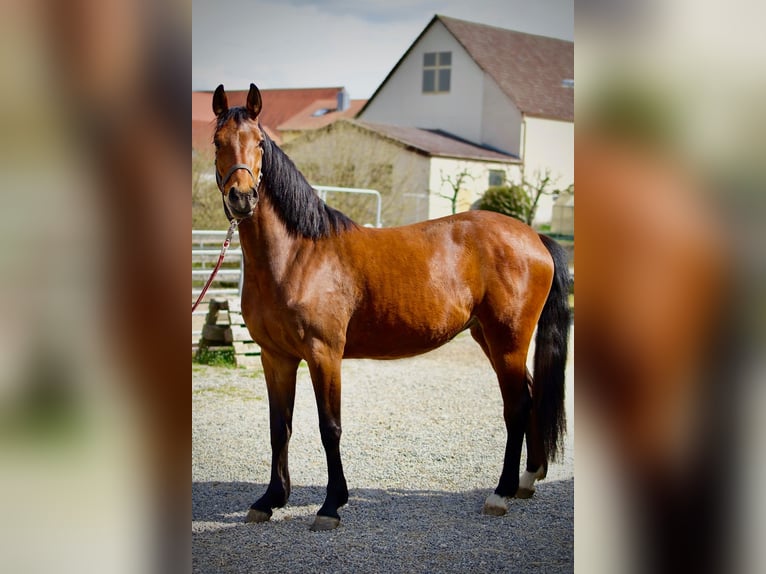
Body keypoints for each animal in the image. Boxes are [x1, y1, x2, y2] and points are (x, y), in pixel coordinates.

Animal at [211, 83, 571, 531]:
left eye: (259, 142)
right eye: (217, 142)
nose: (242, 198)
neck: (298, 255)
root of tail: (535, 237)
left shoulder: (324, 354)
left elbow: (329, 427)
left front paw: (331, 505)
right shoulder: (275, 356)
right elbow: (280, 427)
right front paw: (270, 499)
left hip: (508, 339)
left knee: (517, 406)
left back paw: (501, 493)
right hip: (487, 336)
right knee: (531, 395)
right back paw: (528, 479)